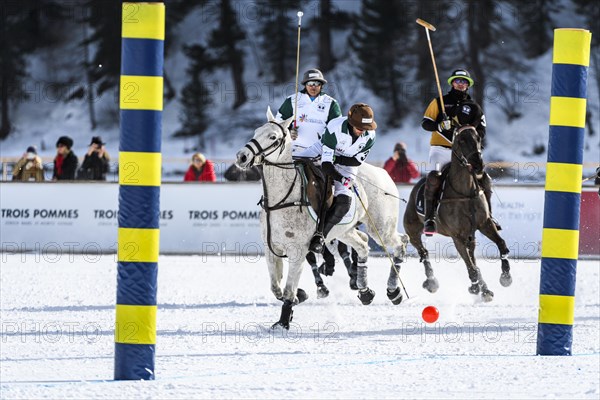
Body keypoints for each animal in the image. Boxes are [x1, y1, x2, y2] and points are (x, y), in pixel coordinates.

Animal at [234, 107, 408, 328]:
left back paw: (394, 291)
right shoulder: (271, 248)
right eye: (256, 132)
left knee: (401, 242)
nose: (242, 156)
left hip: (382, 227)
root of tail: (383, 173)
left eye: (272, 137)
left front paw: (283, 322)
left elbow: (288, 290)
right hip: (344, 230)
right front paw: (300, 296)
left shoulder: (297, 251)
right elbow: (276, 287)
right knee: (362, 244)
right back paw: (365, 291)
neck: (280, 199)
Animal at [404, 125, 510, 300]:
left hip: (470, 235)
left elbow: (501, 244)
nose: (478, 164)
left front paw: (506, 276)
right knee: (423, 252)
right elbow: (470, 266)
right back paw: (432, 282)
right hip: (412, 231)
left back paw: (485, 289)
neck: (465, 192)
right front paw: (474, 287)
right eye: (461, 140)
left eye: (478, 138)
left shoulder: (484, 224)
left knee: (472, 257)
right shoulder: (457, 236)